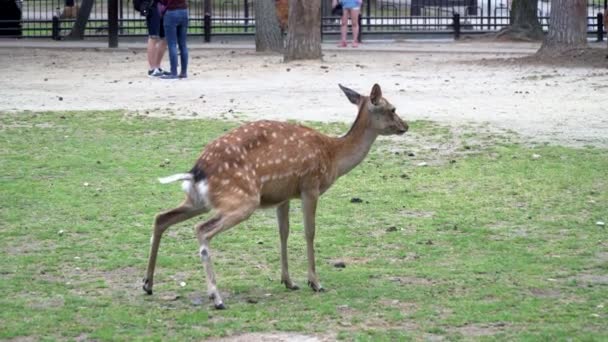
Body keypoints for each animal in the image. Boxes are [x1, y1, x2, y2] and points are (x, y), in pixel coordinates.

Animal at [142, 83, 408, 310]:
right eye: (392, 108)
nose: (406, 126)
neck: (333, 157)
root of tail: (196, 171)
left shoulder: (284, 196)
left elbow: (283, 233)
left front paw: (289, 281)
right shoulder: (310, 186)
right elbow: (309, 232)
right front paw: (315, 282)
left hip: (199, 200)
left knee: (161, 217)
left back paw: (148, 284)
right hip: (243, 199)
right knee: (201, 230)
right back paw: (216, 297)